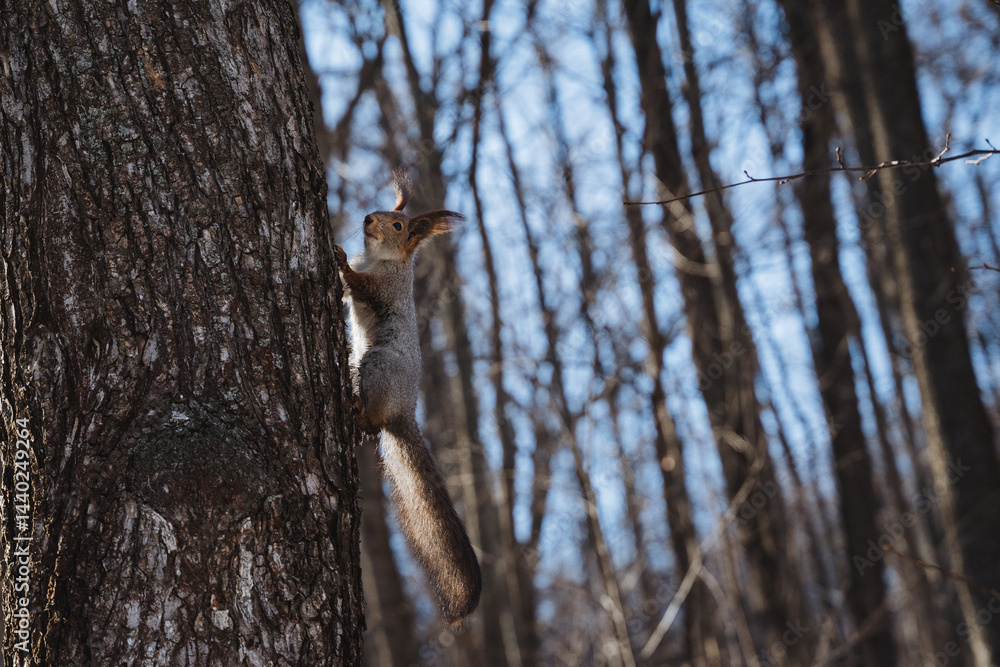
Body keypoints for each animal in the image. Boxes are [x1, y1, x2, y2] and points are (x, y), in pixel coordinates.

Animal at [334, 173, 482, 624]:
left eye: (398, 225)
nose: (368, 218)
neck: (383, 261)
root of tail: (402, 412)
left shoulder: (384, 288)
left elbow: (358, 285)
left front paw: (339, 258)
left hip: (377, 365)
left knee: (371, 420)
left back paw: (358, 413)